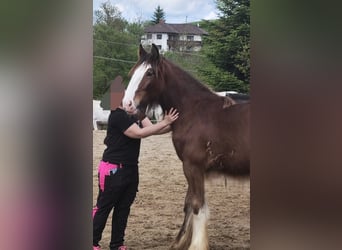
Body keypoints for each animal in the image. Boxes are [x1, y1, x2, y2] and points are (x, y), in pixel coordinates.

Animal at [122, 44, 248, 250]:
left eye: (149, 73)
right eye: (132, 72)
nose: (128, 105)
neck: (195, 112)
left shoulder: (193, 167)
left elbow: (196, 205)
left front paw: (196, 244)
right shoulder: (190, 168)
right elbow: (188, 203)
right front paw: (181, 241)